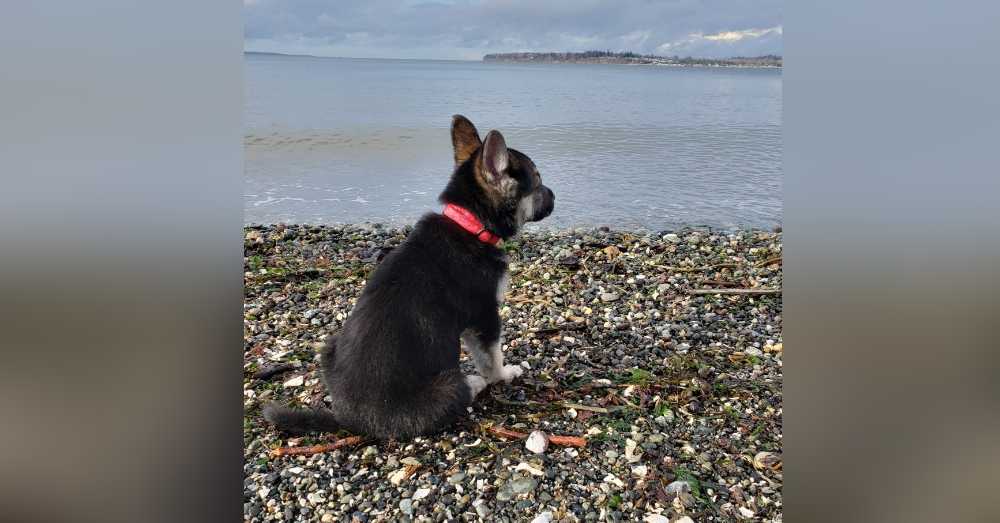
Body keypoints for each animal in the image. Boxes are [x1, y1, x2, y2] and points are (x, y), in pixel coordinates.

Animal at [264, 116, 556, 440]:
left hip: (329, 346)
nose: (555, 195)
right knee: (458, 392)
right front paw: (503, 375)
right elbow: (492, 356)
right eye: (538, 180)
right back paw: (474, 383)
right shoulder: (485, 315)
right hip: (447, 387)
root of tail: (349, 420)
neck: (469, 223)